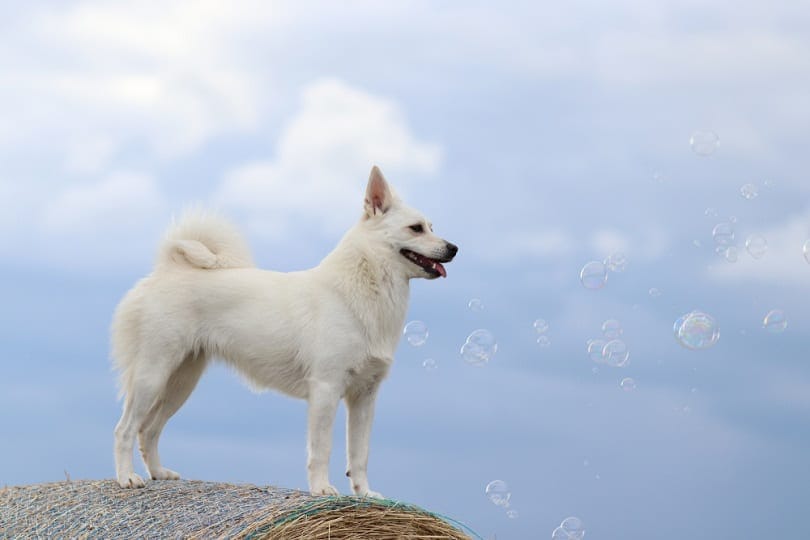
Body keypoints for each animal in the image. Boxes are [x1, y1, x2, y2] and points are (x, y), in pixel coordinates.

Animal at [111, 166, 458, 498]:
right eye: (416, 228)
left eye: (431, 225)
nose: (454, 248)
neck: (361, 286)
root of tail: (168, 269)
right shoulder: (326, 390)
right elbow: (322, 449)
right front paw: (321, 489)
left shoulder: (364, 397)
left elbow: (359, 454)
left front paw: (365, 494)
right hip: (152, 376)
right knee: (125, 429)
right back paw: (127, 478)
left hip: (180, 382)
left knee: (148, 430)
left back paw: (158, 473)